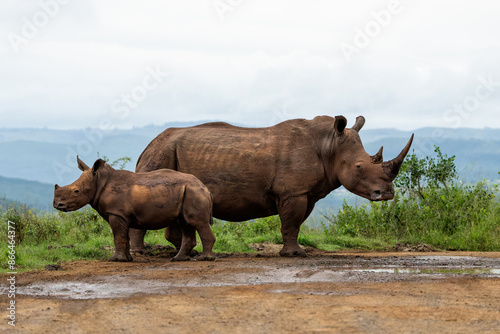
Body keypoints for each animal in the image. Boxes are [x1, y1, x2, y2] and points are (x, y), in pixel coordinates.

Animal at [54, 155, 215, 262]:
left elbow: (118, 236)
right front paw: (127, 259)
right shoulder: (122, 215)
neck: (99, 181)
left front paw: (115, 259)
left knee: (197, 222)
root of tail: (206, 188)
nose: (57, 204)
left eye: (76, 191)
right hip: (188, 191)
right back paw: (178, 259)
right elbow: (124, 237)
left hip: (194, 192)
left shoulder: (116, 213)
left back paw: (205, 258)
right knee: (186, 222)